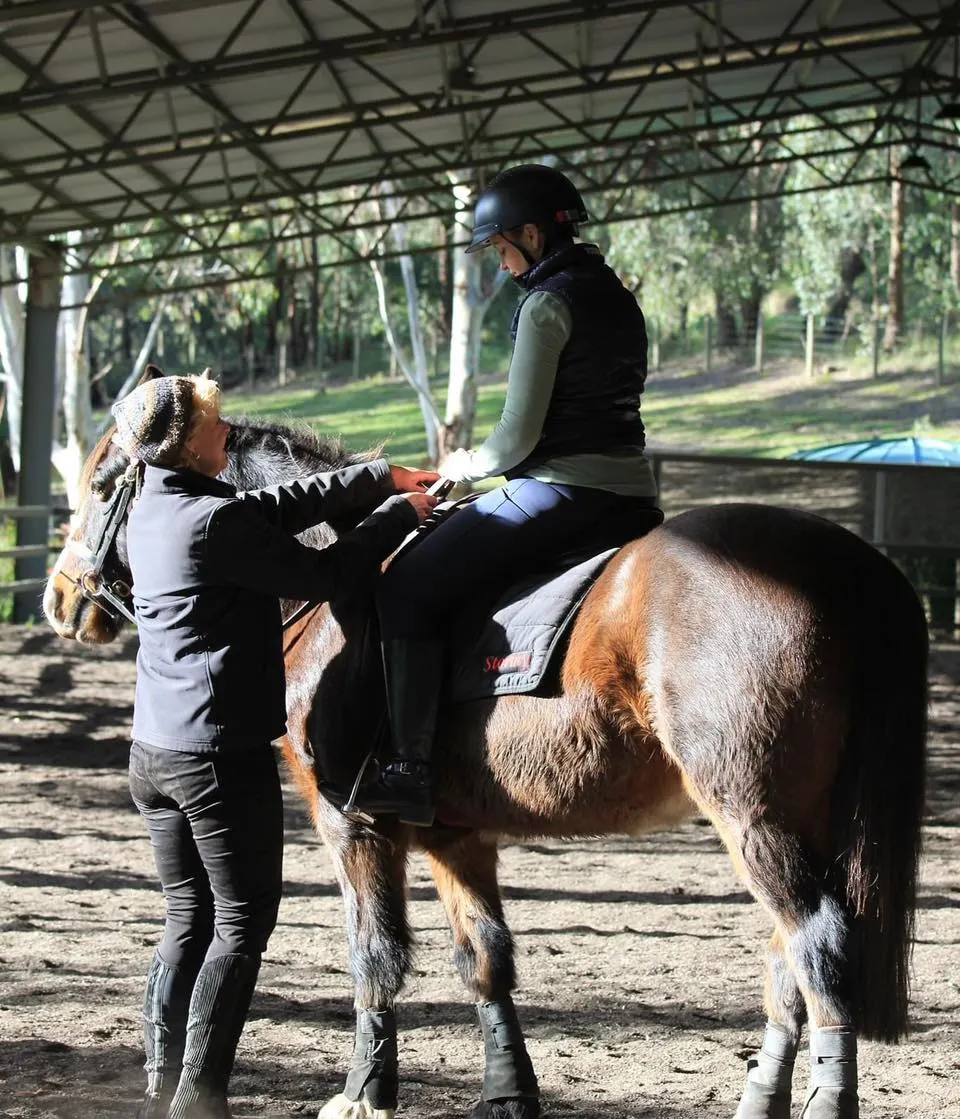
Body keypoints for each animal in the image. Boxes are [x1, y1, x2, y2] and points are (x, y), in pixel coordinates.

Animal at [44, 393, 926, 1119]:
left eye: (102, 484)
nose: (60, 598)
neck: (333, 589)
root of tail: (840, 556)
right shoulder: (453, 834)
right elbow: (485, 959)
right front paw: (507, 1091)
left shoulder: (350, 826)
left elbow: (373, 956)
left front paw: (364, 1093)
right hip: (792, 821)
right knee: (787, 966)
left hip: (755, 816)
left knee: (817, 946)